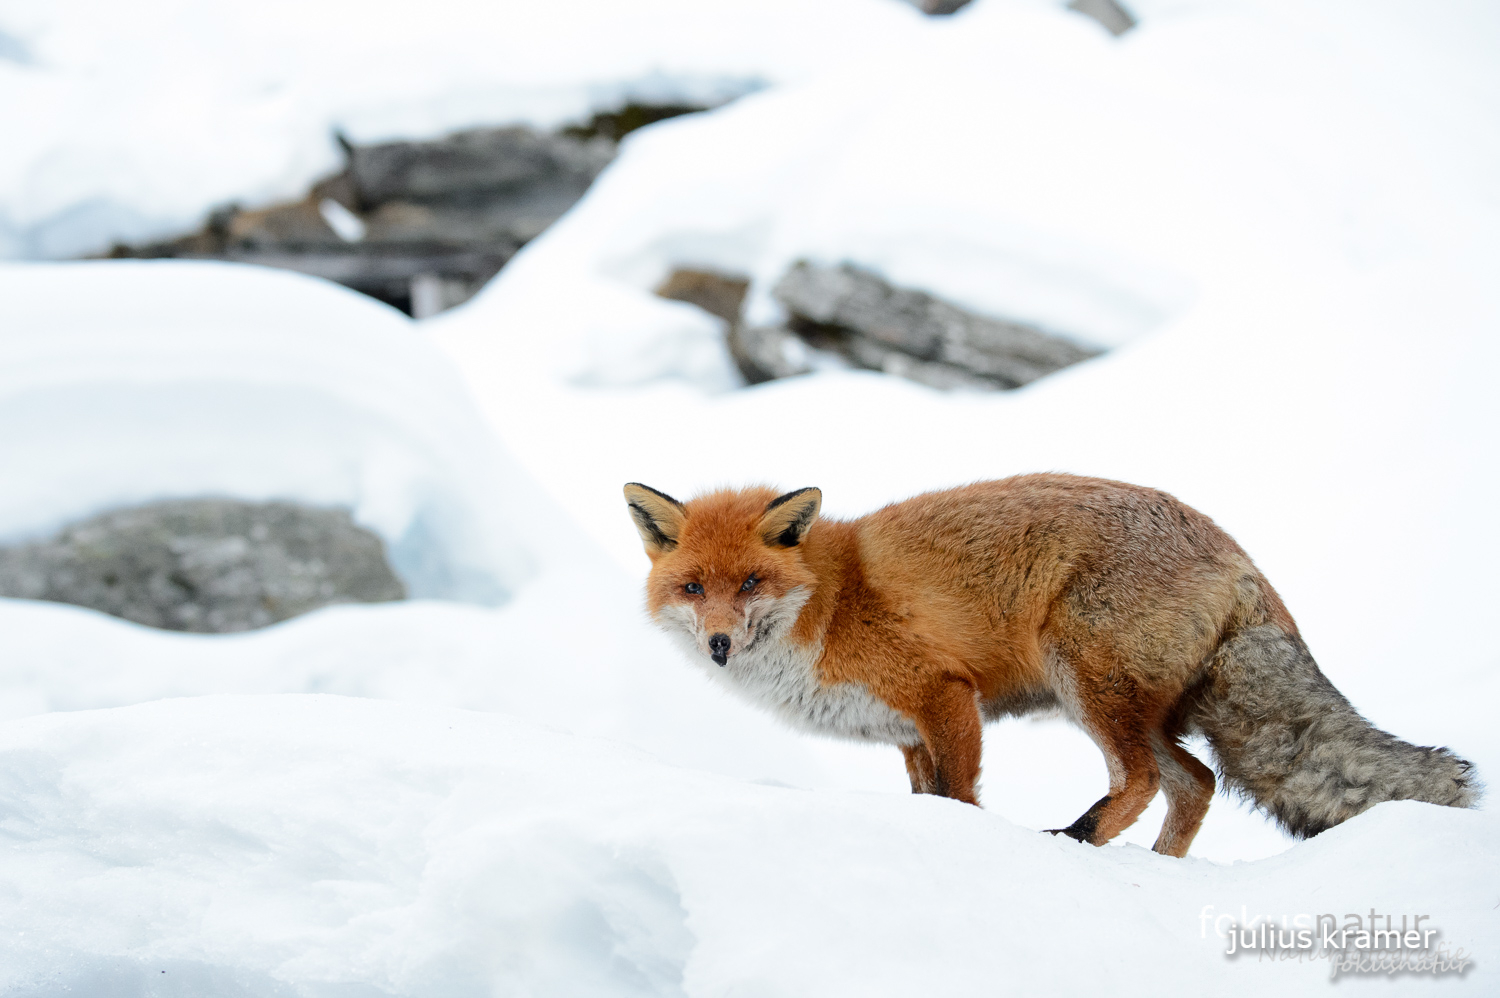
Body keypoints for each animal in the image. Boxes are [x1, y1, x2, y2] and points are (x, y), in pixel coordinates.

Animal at [624, 474, 1476, 858]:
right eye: (694, 588)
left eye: (751, 584)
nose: (719, 644)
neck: (830, 604)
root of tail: (1239, 555)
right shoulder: (907, 733)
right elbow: (927, 795)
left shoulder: (945, 695)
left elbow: (959, 797)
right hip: (1127, 705)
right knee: (1197, 782)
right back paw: (1156, 865)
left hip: (1085, 682)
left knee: (1143, 780)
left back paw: (1075, 837)